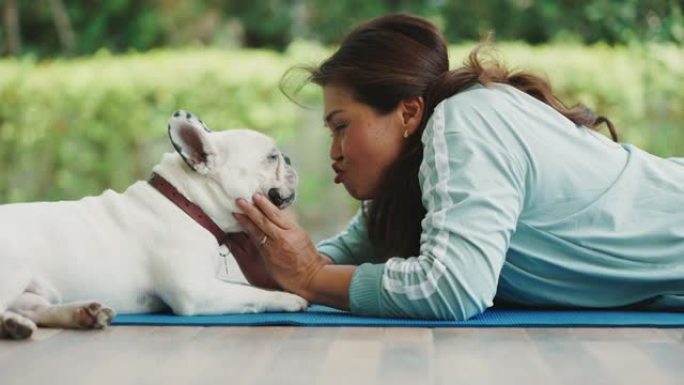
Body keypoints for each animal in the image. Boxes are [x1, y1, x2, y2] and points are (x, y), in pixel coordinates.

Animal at [0, 109, 306, 338]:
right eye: (271, 157)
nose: (290, 158)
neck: (187, 203)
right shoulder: (196, 290)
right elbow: (251, 292)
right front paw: (287, 298)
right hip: (12, 272)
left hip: (36, 292)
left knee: (34, 308)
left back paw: (82, 314)